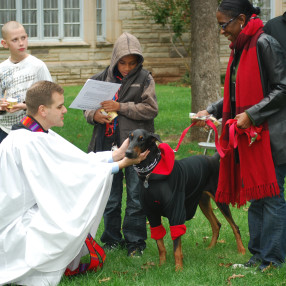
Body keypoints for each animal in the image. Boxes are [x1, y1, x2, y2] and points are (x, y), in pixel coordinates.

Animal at [126, 129, 245, 270]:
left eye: (142, 139)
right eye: (130, 137)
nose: (127, 152)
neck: (150, 175)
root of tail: (213, 158)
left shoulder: (176, 212)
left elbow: (176, 247)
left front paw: (178, 269)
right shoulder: (152, 213)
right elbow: (160, 244)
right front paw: (162, 265)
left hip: (219, 199)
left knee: (234, 226)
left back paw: (242, 251)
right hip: (203, 201)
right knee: (217, 224)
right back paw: (210, 248)